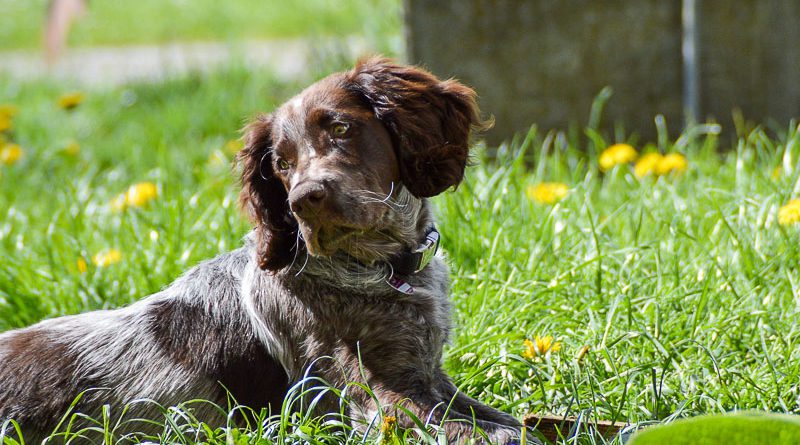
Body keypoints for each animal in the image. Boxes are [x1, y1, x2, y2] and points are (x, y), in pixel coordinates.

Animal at [1, 57, 536, 442]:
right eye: (280, 163)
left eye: (341, 129)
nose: (304, 200)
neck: (382, 269)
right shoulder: (377, 400)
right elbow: (498, 434)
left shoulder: (428, 377)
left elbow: (521, 422)